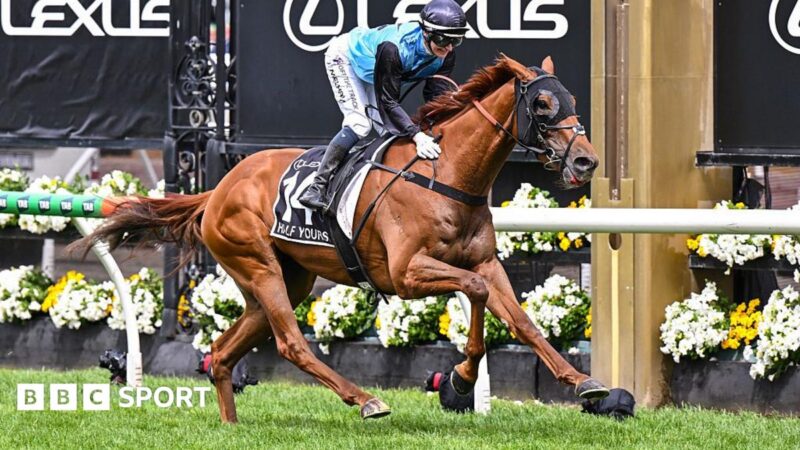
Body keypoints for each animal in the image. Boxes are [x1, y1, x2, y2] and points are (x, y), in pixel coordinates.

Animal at [77, 54, 605, 423]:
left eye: (575, 100)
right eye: (542, 104)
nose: (585, 161)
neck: (448, 176)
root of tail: (219, 188)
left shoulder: (486, 262)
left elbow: (522, 321)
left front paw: (582, 382)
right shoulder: (407, 274)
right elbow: (473, 294)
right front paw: (461, 378)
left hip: (287, 279)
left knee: (224, 352)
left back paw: (231, 424)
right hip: (259, 266)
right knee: (292, 342)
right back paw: (365, 399)